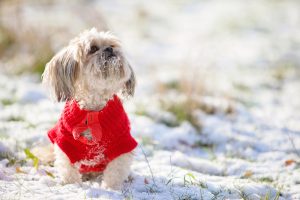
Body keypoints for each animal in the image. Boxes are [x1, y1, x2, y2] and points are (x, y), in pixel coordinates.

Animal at [42, 27, 138, 189]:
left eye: (112, 44)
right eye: (93, 48)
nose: (110, 49)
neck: (94, 107)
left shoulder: (122, 143)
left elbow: (115, 171)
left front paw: (111, 188)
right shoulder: (64, 141)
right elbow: (68, 169)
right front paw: (72, 186)